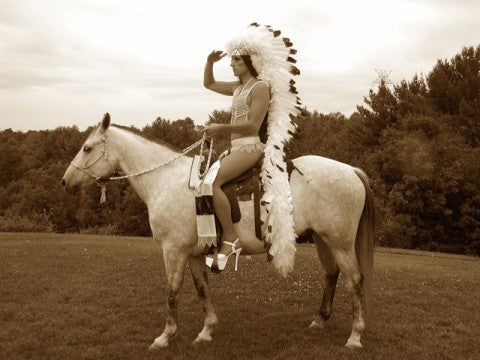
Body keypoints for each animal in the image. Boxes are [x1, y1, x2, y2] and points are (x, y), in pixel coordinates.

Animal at [60, 113, 376, 348]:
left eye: (87, 148)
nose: (65, 181)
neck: (167, 181)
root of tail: (351, 170)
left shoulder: (173, 250)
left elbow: (172, 290)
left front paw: (165, 336)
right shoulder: (194, 253)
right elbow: (202, 289)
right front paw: (206, 331)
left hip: (340, 242)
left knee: (355, 281)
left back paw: (355, 336)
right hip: (323, 239)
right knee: (332, 275)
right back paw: (320, 320)